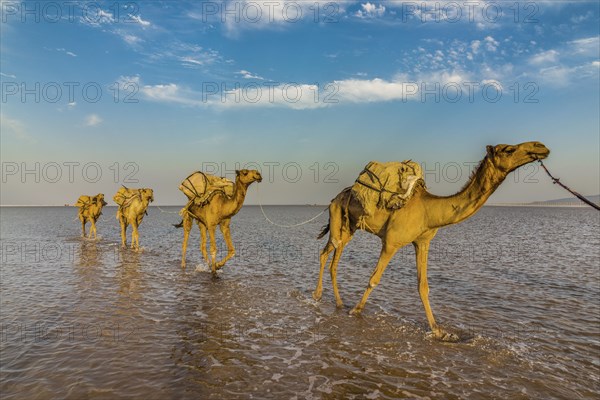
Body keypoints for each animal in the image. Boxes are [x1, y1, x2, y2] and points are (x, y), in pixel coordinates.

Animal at [312, 141, 552, 340]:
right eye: (508, 149)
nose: (540, 147)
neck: (429, 211)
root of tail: (336, 197)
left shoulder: (423, 242)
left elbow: (423, 286)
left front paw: (439, 331)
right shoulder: (391, 242)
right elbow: (374, 279)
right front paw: (356, 310)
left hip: (349, 227)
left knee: (331, 257)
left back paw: (336, 301)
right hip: (338, 220)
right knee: (327, 254)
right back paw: (322, 297)